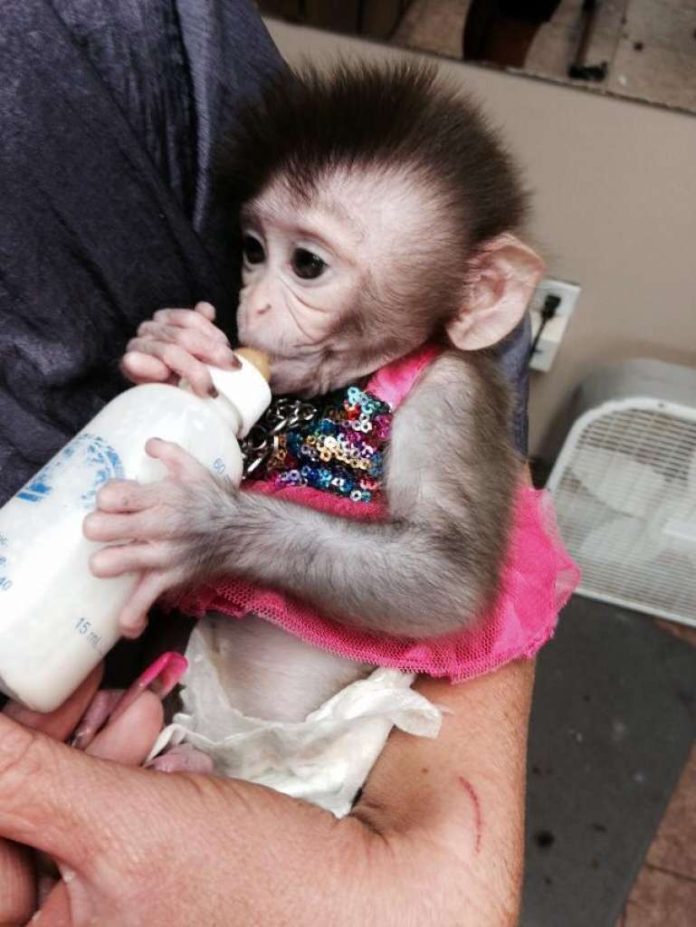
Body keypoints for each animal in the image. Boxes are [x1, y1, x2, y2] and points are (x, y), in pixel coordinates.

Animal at [85, 61, 544, 732]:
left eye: (306, 264)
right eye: (253, 250)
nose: (252, 305)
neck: (335, 394)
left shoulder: (455, 397)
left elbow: (446, 578)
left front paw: (204, 524)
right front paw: (173, 344)